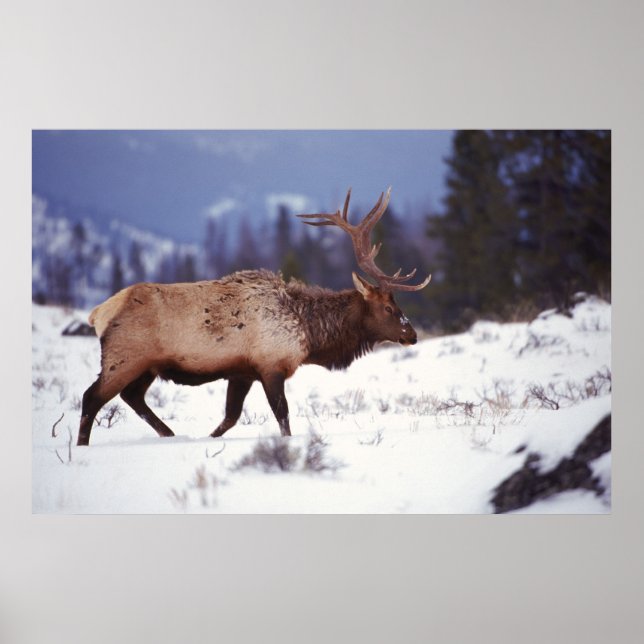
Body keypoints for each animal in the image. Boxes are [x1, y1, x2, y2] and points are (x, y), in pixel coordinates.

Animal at [77, 188, 431, 445]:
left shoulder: (242, 372)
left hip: (147, 365)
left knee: (131, 396)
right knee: (91, 397)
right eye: (389, 308)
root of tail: (98, 313)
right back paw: (82, 447)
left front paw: (207, 439)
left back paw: (170, 434)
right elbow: (283, 416)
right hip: (124, 357)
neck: (310, 334)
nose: (412, 334)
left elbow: (230, 418)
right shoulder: (271, 365)